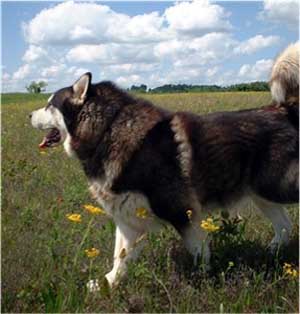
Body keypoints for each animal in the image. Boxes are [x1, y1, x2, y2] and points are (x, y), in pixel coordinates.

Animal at [29, 44, 298, 290]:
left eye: (49, 105)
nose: (29, 115)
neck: (107, 131)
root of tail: (282, 109)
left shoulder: (181, 211)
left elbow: (199, 252)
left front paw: (203, 281)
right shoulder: (128, 221)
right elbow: (120, 259)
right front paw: (107, 285)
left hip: (276, 187)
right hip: (262, 193)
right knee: (285, 227)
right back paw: (271, 253)